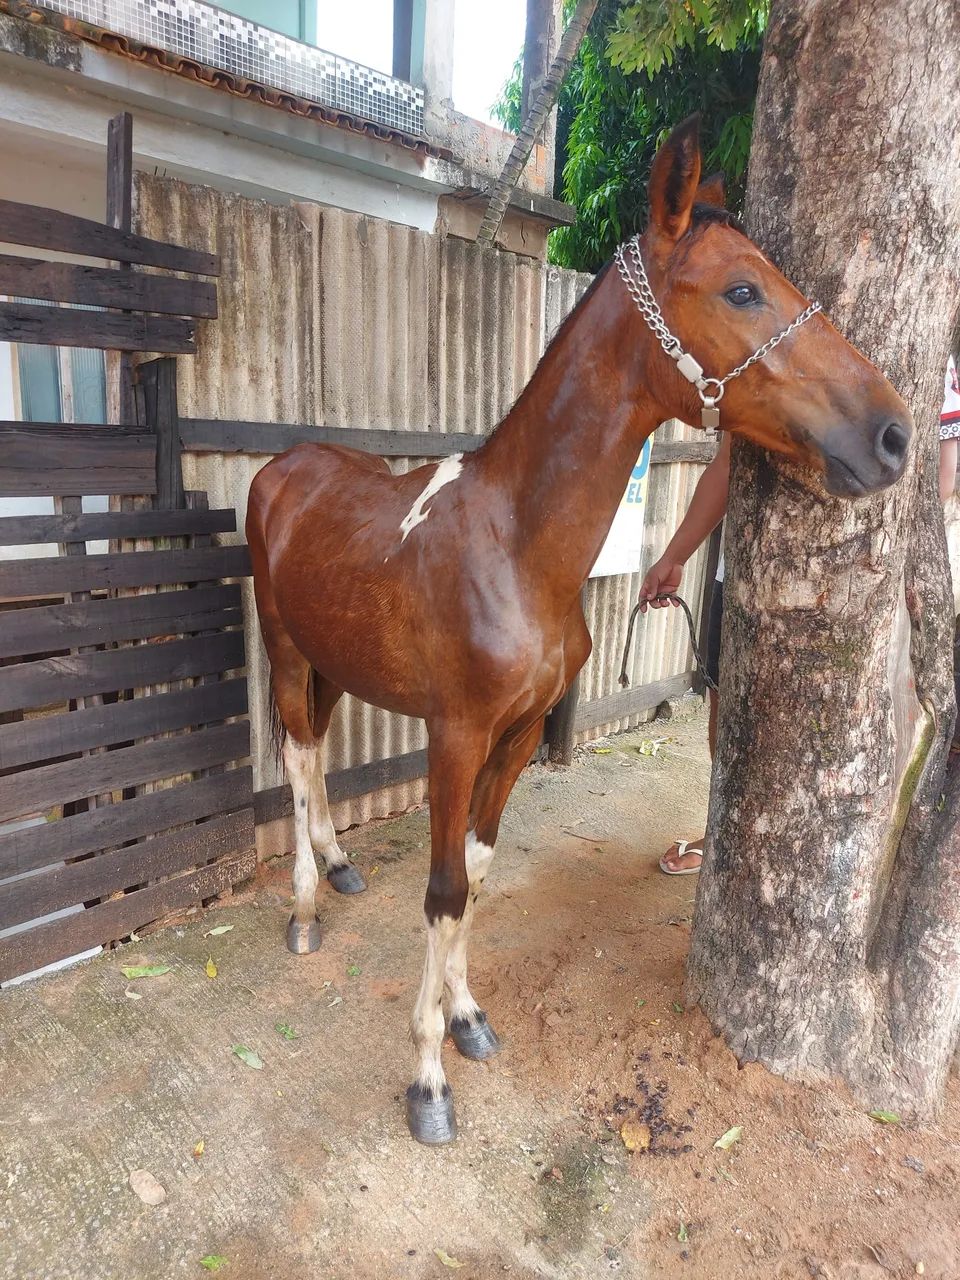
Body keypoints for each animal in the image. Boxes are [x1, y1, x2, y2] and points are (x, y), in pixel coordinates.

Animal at [246, 116, 911, 1145]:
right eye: (743, 288)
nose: (893, 434)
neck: (516, 546)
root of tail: (282, 469)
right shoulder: (457, 736)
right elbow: (443, 889)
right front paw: (428, 1080)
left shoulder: (517, 736)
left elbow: (478, 873)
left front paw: (467, 1017)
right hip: (282, 648)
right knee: (297, 754)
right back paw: (307, 910)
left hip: (332, 660)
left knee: (315, 753)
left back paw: (340, 865)